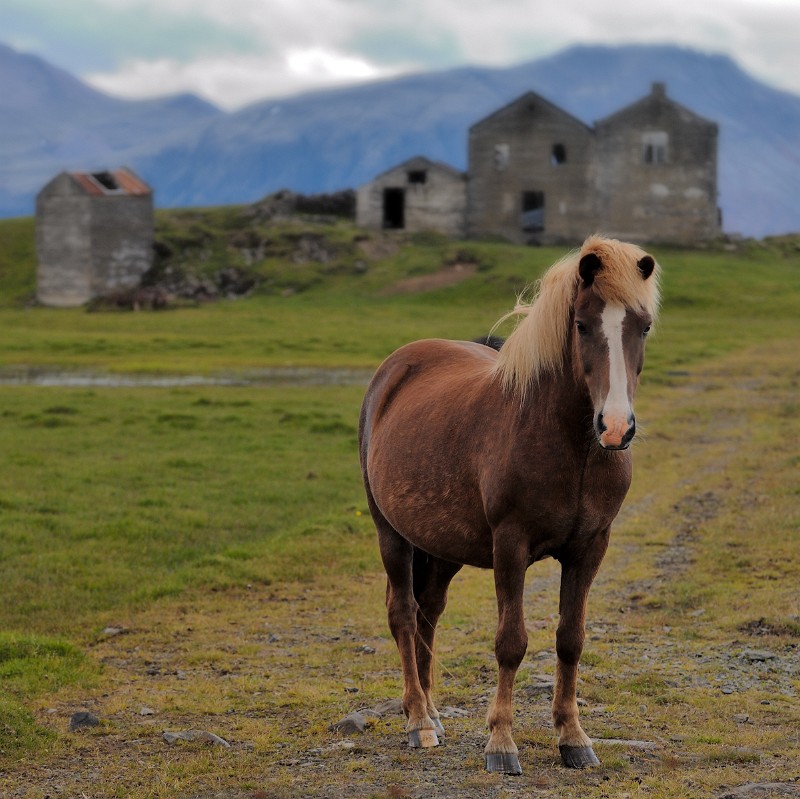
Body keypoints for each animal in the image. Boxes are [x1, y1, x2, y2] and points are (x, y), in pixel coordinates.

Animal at [360, 236, 660, 776]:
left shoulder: (590, 548)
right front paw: (501, 743)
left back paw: (433, 714)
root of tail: (393, 371)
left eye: (643, 325)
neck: (571, 446)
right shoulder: (510, 545)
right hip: (391, 534)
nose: (614, 427)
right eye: (581, 325)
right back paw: (418, 721)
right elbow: (511, 642)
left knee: (427, 613)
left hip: (443, 548)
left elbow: (570, 639)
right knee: (403, 613)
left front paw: (573, 737)